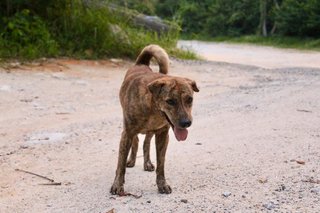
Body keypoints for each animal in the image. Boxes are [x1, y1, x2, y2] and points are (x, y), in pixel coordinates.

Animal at [111, 44, 199, 194]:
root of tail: (141, 63)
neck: (153, 109)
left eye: (190, 99)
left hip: (151, 132)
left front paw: (162, 184)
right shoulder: (127, 133)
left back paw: (147, 163)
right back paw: (131, 160)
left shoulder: (163, 135)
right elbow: (120, 164)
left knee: (146, 144)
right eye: (170, 101)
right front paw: (117, 184)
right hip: (131, 130)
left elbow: (161, 164)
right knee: (136, 141)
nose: (186, 123)